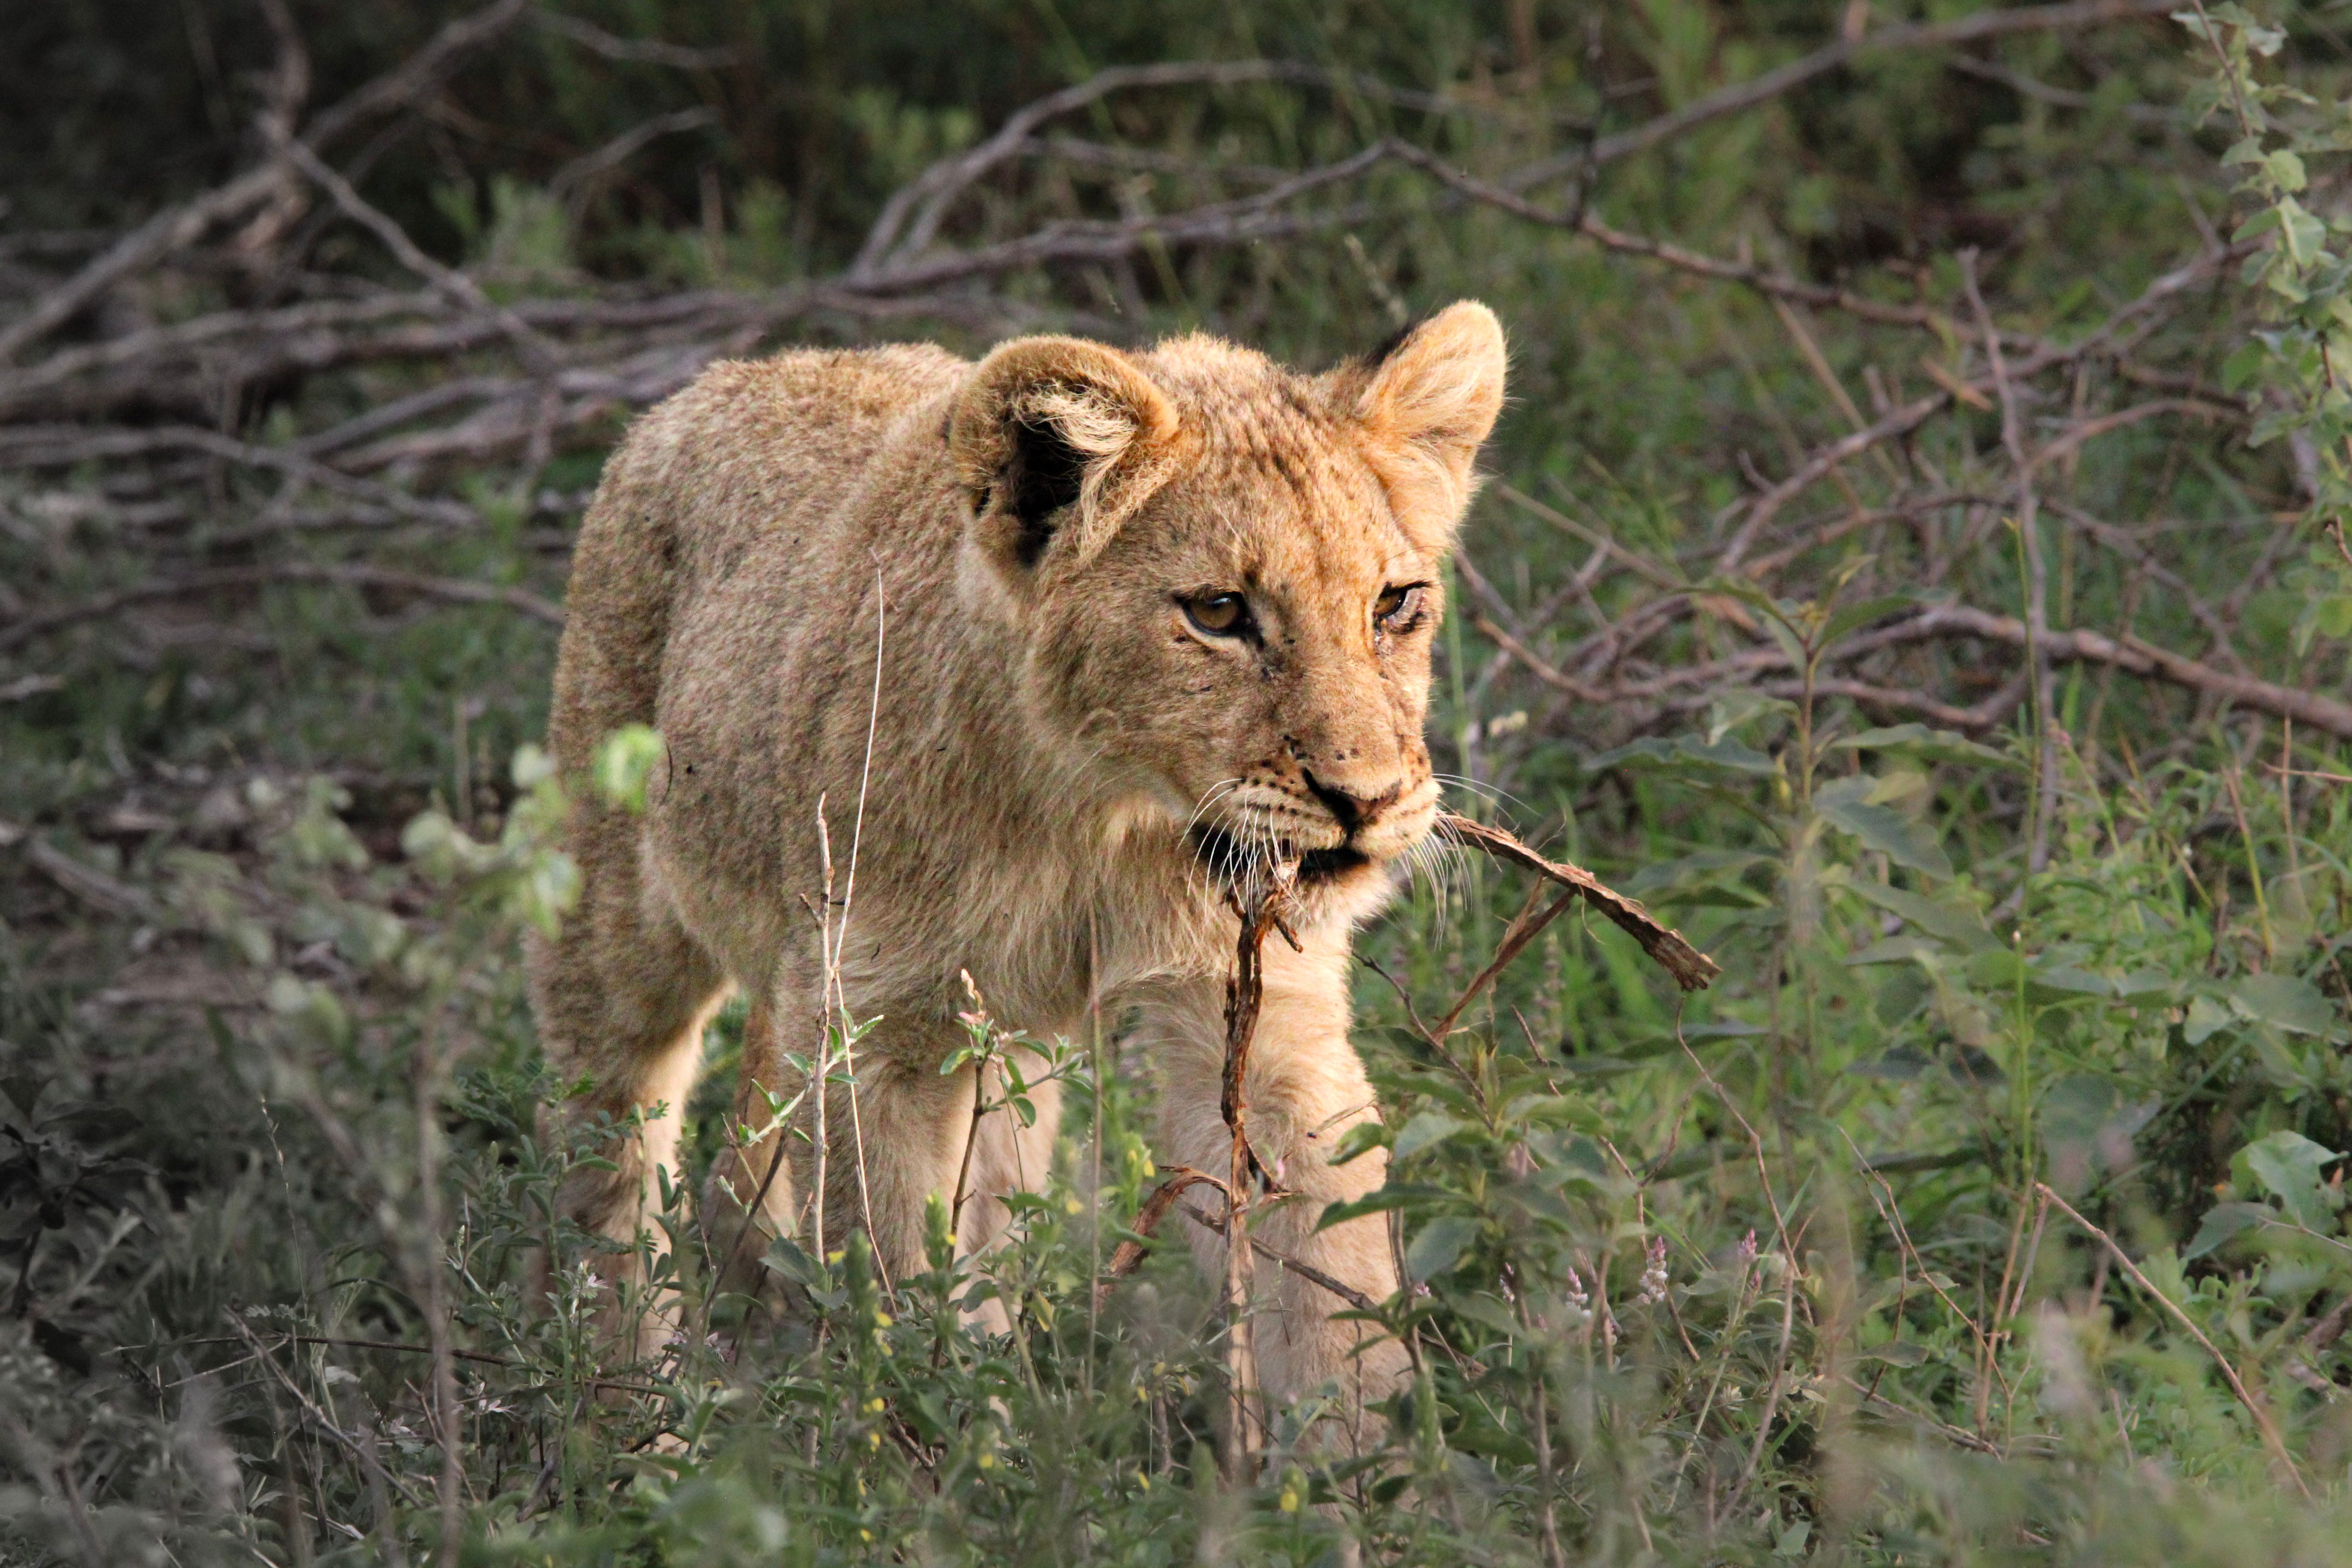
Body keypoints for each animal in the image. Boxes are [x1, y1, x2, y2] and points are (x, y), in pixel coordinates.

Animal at [527, 302, 1507, 1445]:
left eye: (1395, 605)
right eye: (1219, 612)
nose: (1366, 798)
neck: (1099, 819)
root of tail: (724, 380)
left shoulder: (1261, 1018)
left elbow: (1336, 1290)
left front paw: (1361, 1470)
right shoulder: (875, 1027)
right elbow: (894, 1278)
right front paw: (926, 1457)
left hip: (989, 1045)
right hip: (618, 916)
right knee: (608, 1154)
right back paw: (628, 1425)